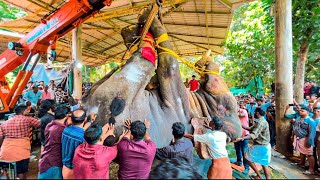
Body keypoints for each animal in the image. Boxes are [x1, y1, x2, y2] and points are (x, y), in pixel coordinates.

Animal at [81, 7, 241, 148]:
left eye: (226, 106)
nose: (211, 69)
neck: (198, 106)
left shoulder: (179, 104)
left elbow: (169, 66)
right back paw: (132, 32)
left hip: (115, 100)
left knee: (146, 60)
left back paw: (143, 21)